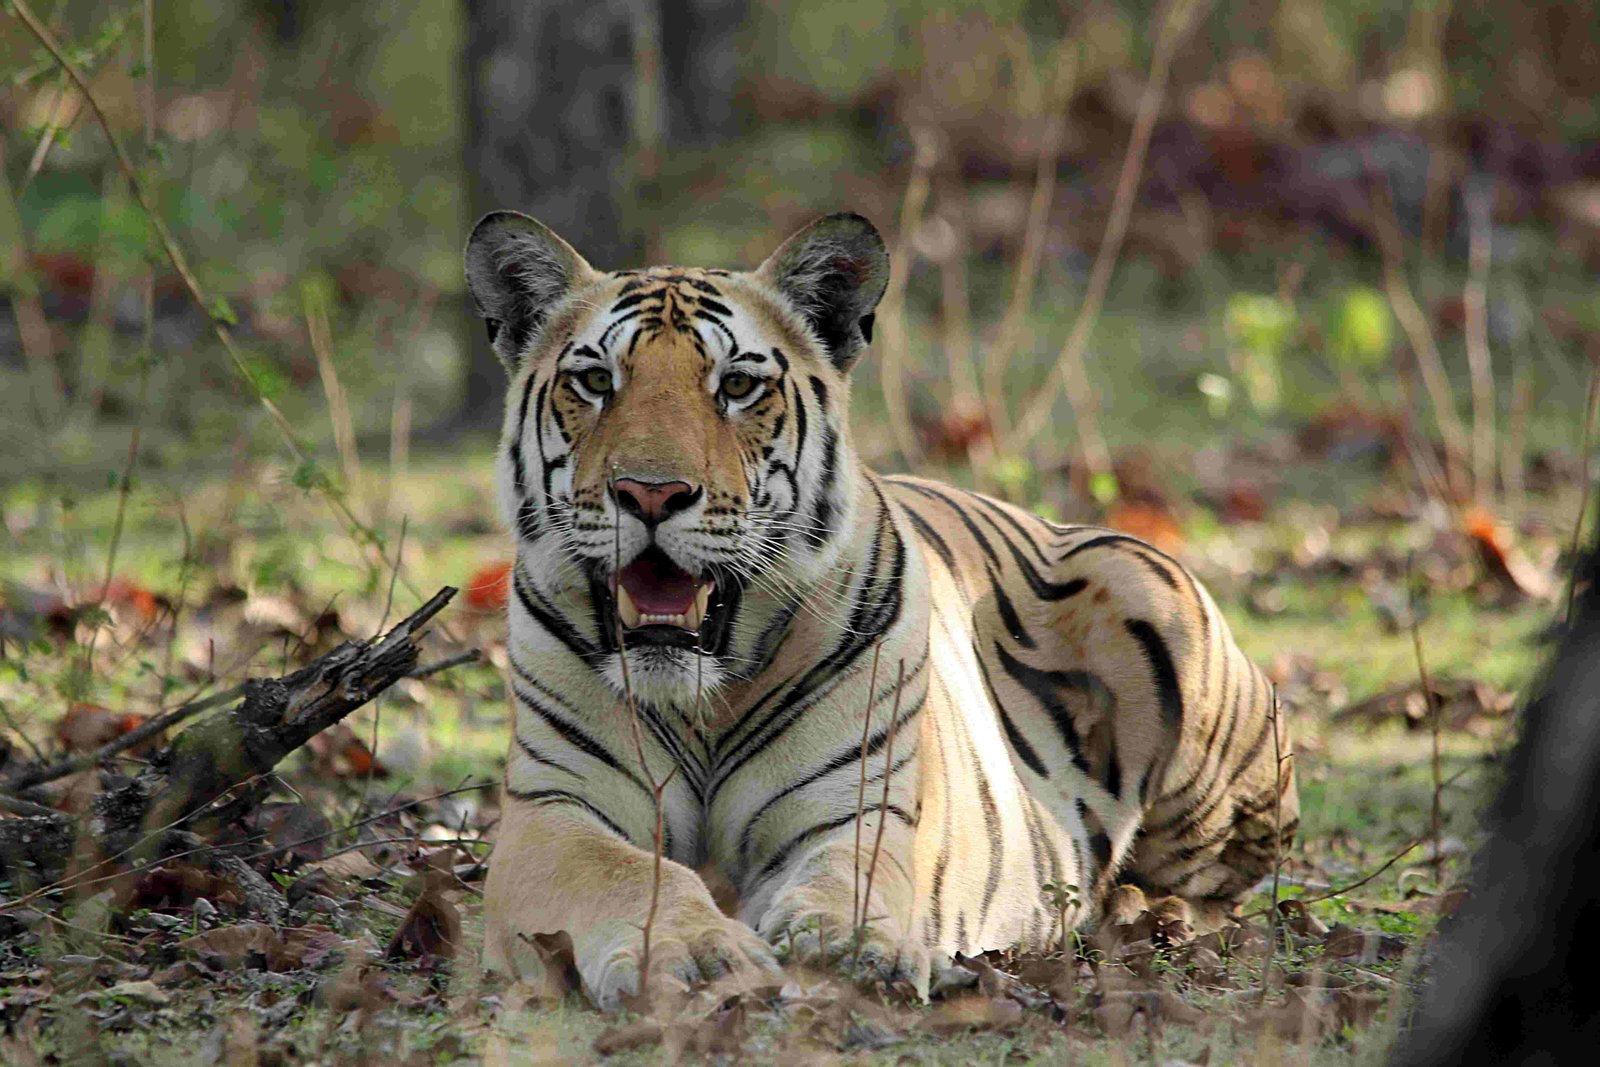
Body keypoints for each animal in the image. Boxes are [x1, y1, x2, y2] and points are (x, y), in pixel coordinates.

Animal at [467, 210, 1297, 1009]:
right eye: (594, 380)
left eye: (736, 385)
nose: (649, 492)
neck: (701, 699)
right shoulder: (553, 810)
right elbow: (629, 873)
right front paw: (695, 954)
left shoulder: (859, 805)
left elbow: (849, 875)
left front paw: (845, 943)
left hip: (1155, 611)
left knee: (1222, 887)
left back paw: (1145, 914)